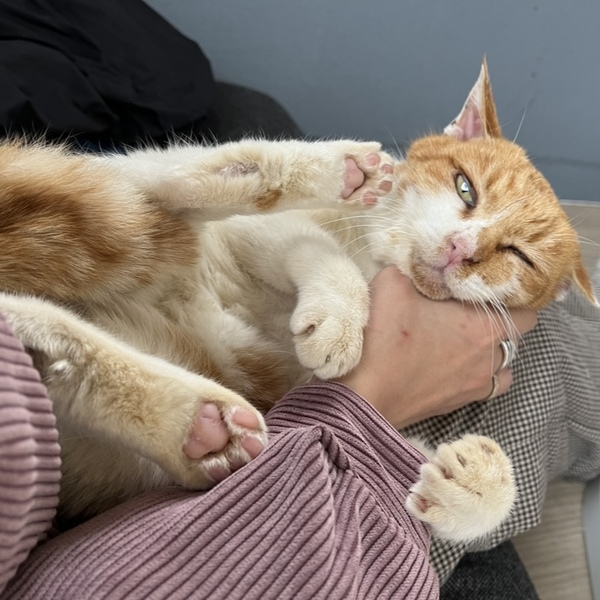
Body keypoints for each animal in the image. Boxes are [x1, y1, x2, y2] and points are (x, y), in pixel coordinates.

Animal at [0, 59, 595, 544]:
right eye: (465, 186)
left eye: (519, 255)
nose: (460, 248)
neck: (374, 256)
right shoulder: (256, 238)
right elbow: (314, 248)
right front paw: (340, 319)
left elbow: (387, 452)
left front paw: (475, 482)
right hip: (135, 214)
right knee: (157, 186)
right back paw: (338, 168)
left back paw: (195, 426)